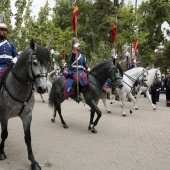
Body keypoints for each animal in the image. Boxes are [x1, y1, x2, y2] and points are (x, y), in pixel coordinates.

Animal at [0, 39, 50, 170]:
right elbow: (4, 134)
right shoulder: (4, 116)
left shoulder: (27, 116)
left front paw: (33, 161)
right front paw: (1, 153)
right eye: (35, 63)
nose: (42, 88)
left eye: (48, 64)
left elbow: (28, 138)